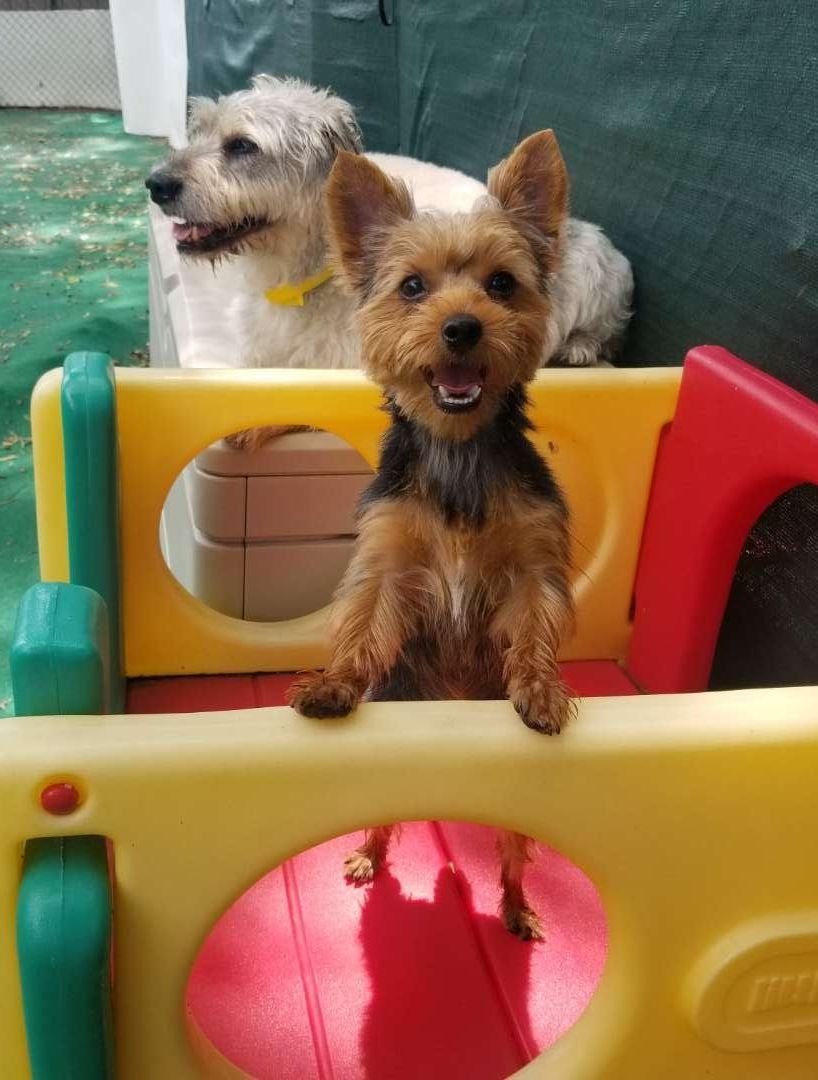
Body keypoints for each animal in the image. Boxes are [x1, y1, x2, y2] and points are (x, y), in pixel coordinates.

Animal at [146, 75, 631, 384]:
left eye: (243, 145)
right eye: (198, 130)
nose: (155, 184)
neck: (300, 281)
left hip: (594, 265)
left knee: (607, 333)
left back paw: (580, 347)